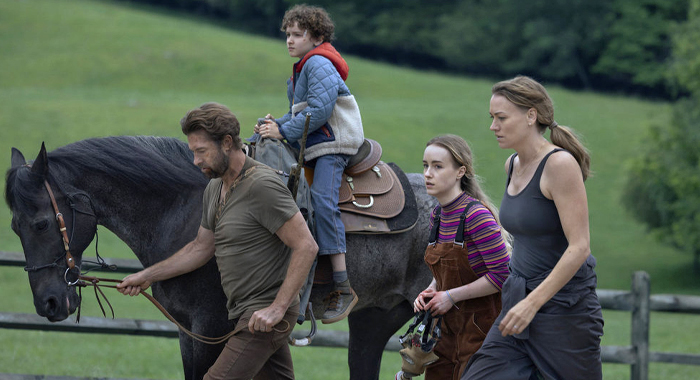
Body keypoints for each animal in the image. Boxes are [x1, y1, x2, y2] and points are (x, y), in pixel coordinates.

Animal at [5, 137, 434, 380]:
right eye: (15, 227)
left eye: (42, 223)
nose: (48, 303)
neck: (184, 208)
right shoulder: (187, 330)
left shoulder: (211, 326)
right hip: (373, 321)